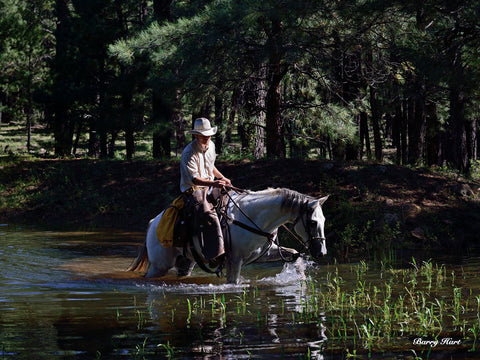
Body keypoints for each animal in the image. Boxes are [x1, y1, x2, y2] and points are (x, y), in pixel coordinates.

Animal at [127, 188, 330, 284]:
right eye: (313, 222)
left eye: (324, 220)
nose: (322, 253)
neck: (253, 216)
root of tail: (153, 223)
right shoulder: (235, 259)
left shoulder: (263, 254)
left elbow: (295, 255)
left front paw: (302, 279)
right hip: (159, 266)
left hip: (186, 262)